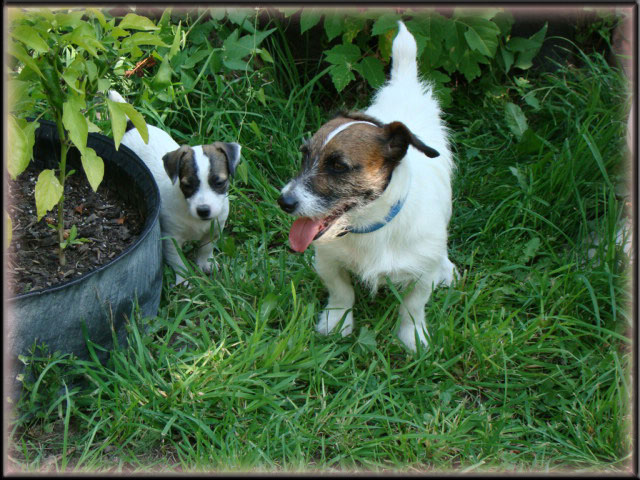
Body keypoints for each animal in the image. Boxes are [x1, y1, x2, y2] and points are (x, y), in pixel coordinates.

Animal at [109, 90, 241, 284]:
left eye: (219, 183)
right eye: (187, 185)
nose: (203, 210)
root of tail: (130, 126)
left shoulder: (214, 228)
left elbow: (205, 249)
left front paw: (205, 264)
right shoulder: (170, 238)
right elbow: (178, 260)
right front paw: (184, 279)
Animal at [276, 22, 456, 350]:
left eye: (338, 166)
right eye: (305, 154)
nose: (284, 202)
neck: (370, 227)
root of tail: (404, 88)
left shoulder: (420, 276)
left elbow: (413, 306)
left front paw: (412, 337)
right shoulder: (328, 260)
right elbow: (341, 292)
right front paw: (337, 323)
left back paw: (446, 267)